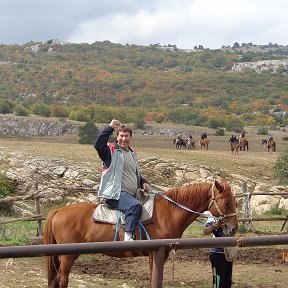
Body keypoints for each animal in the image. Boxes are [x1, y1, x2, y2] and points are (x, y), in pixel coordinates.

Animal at [42, 179, 236, 286]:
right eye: (227, 203)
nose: (233, 228)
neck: (168, 212)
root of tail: (58, 211)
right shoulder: (155, 253)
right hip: (67, 256)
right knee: (62, 279)